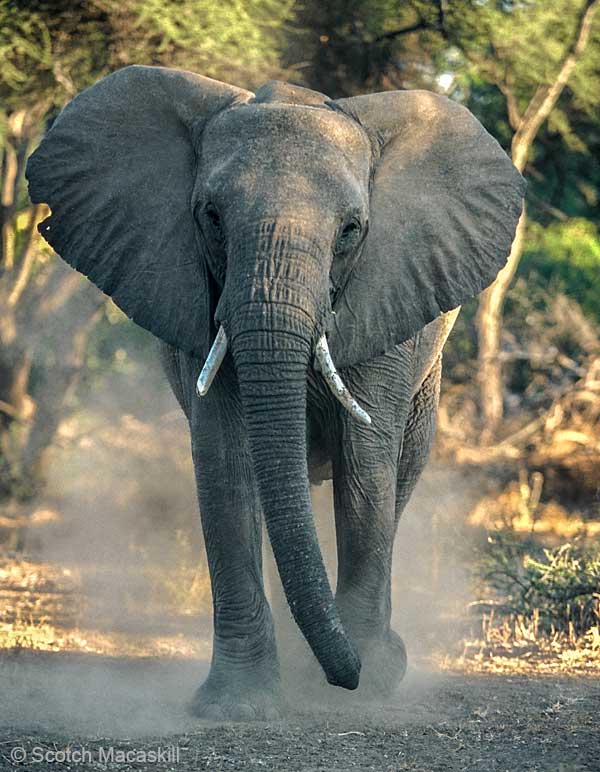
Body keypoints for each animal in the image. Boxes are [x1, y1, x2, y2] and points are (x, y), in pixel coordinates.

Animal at [27, 63, 524, 720]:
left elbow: (366, 465)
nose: (350, 674)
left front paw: (363, 684)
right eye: (210, 217)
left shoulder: (387, 297)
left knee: (398, 476)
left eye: (351, 231)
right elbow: (225, 462)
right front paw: (236, 706)